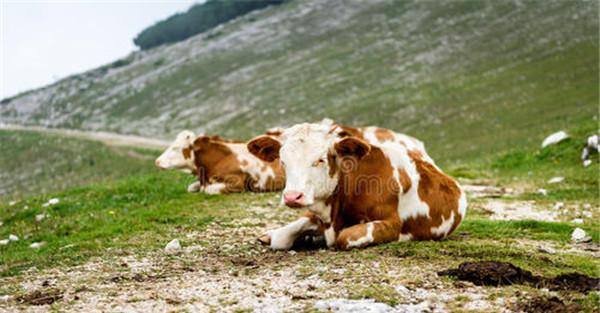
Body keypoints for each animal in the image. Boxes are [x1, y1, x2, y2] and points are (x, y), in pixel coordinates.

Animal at [246, 121, 466, 249]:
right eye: (283, 161)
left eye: (321, 160)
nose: (292, 197)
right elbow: (281, 238)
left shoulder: (392, 223)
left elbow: (346, 237)